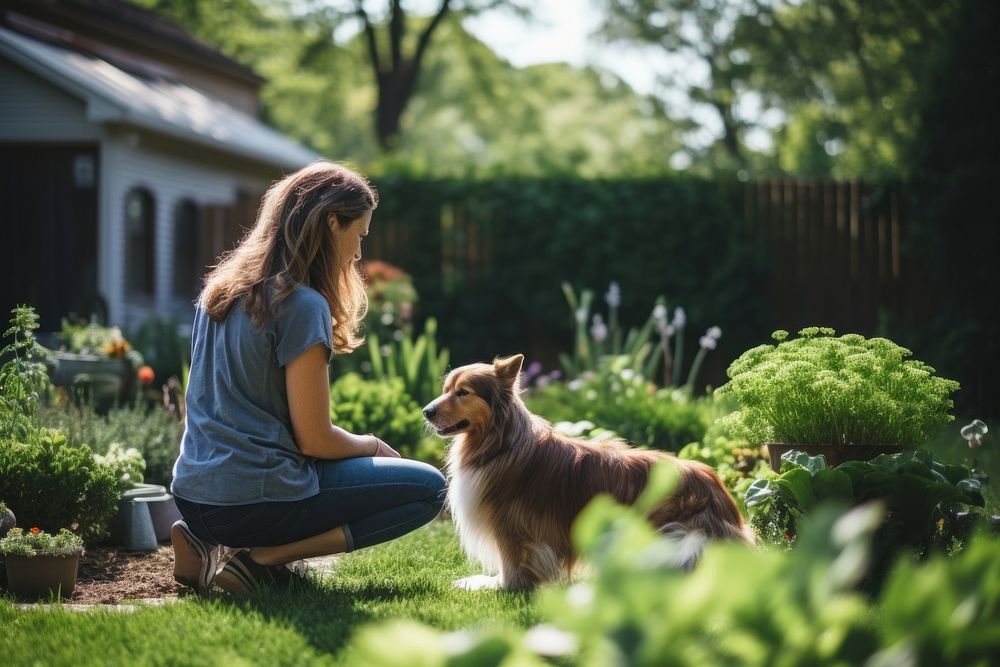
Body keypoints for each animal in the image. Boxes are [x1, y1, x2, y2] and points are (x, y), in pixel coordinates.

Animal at [420, 354, 752, 588]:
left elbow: (511, 566)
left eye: (463, 392)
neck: (500, 443)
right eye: (446, 389)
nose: (426, 411)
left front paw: (498, 586)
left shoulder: (511, 526)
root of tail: (717, 489)